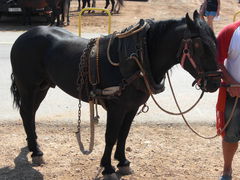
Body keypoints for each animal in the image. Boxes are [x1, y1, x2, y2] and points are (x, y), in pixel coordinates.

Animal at [10, 10, 221, 179]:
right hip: (28, 87)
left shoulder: (131, 107)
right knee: (27, 113)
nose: (215, 83)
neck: (138, 59)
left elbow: (124, 134)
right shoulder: (116, 108)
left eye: (215, 43)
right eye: (200, 46)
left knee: (29, 114)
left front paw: (123, 161)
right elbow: (111, 136)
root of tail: (23, 36)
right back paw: (36, 151)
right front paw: (108, 167)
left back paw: (33, 148)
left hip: (42, 87)